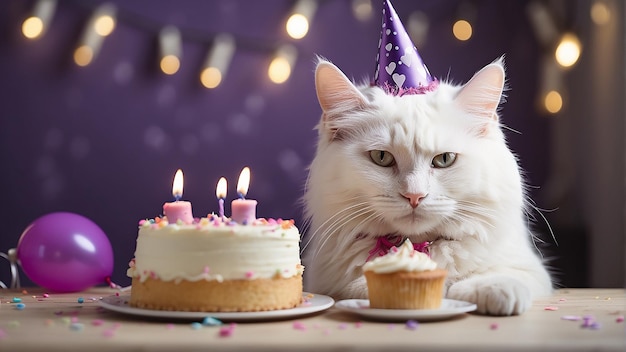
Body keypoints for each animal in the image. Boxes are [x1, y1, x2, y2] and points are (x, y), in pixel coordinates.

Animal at [302, 57, 552, 316]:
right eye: (381, 157)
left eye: (445, 159)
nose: (414, 196)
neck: (417, 246)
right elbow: (358, 286)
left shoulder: (531, 269)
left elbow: (497, 275)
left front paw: (492, 289)